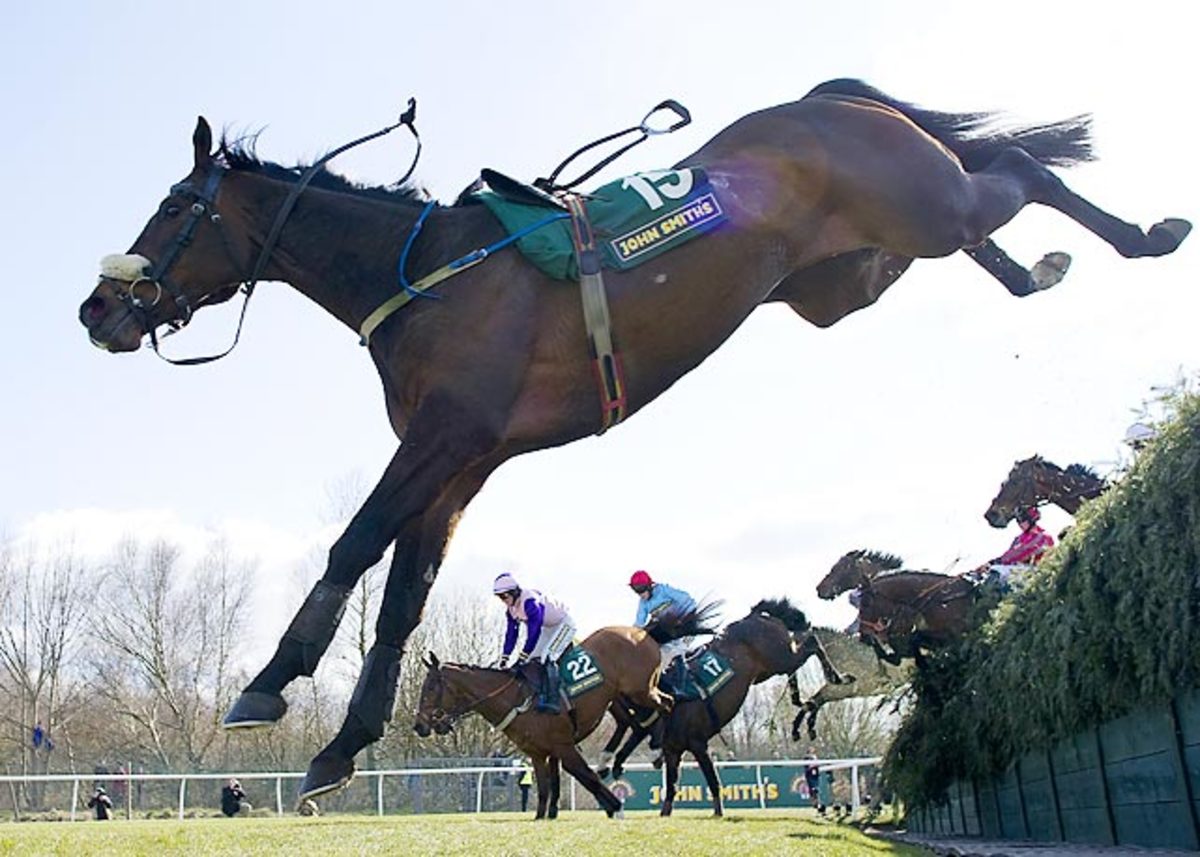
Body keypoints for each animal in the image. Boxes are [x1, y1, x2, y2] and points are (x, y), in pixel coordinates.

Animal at [597, 595, 844, 816]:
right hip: (768, 670)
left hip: (780, 656)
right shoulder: (673, 750)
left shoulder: (698, 744)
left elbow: (712, 780)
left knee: (811, 644)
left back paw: (836, 678)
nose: (607, 766)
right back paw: (800, 701)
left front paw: (718, 812)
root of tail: (754, 616)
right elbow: (671, 788)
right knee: (796, 664)